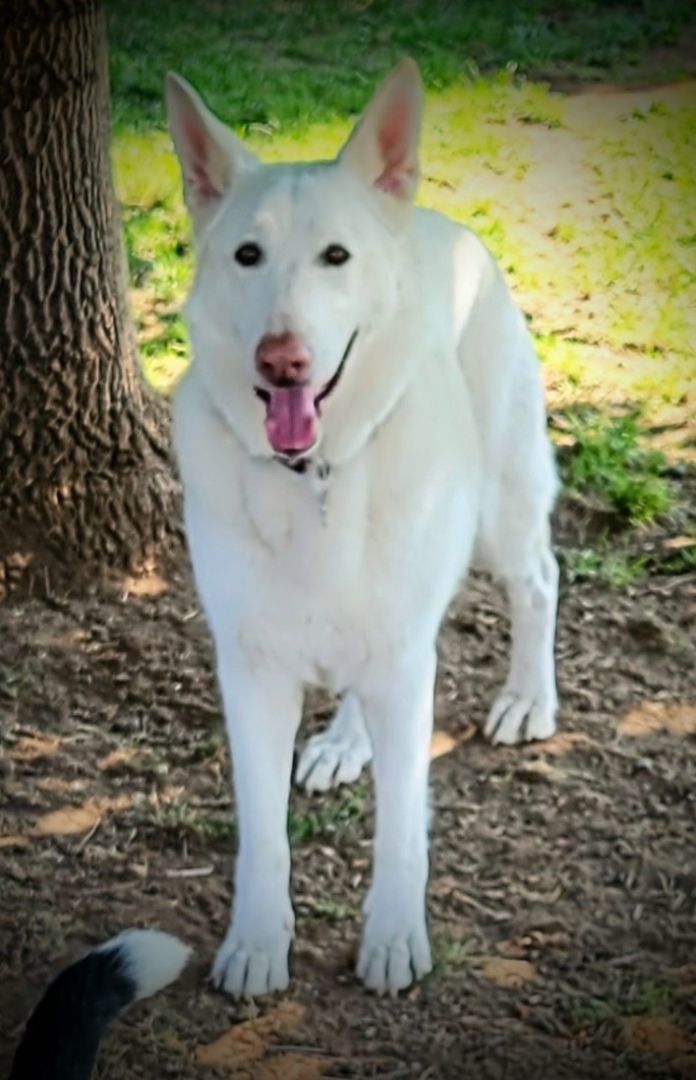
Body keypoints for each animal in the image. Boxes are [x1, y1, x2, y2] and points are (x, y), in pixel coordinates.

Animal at [165, 63, 557, 997]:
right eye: (247, 256)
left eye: (335, 258)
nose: (283, 362)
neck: (316, 476)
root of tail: (440, 221)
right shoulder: (251, 671)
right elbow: (261, 836)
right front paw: (257, 942)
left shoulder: (407, 659)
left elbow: (404, 828)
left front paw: (392, 936)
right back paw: (346, 741)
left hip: (503, 510)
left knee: (540, 581)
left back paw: (530, 698)